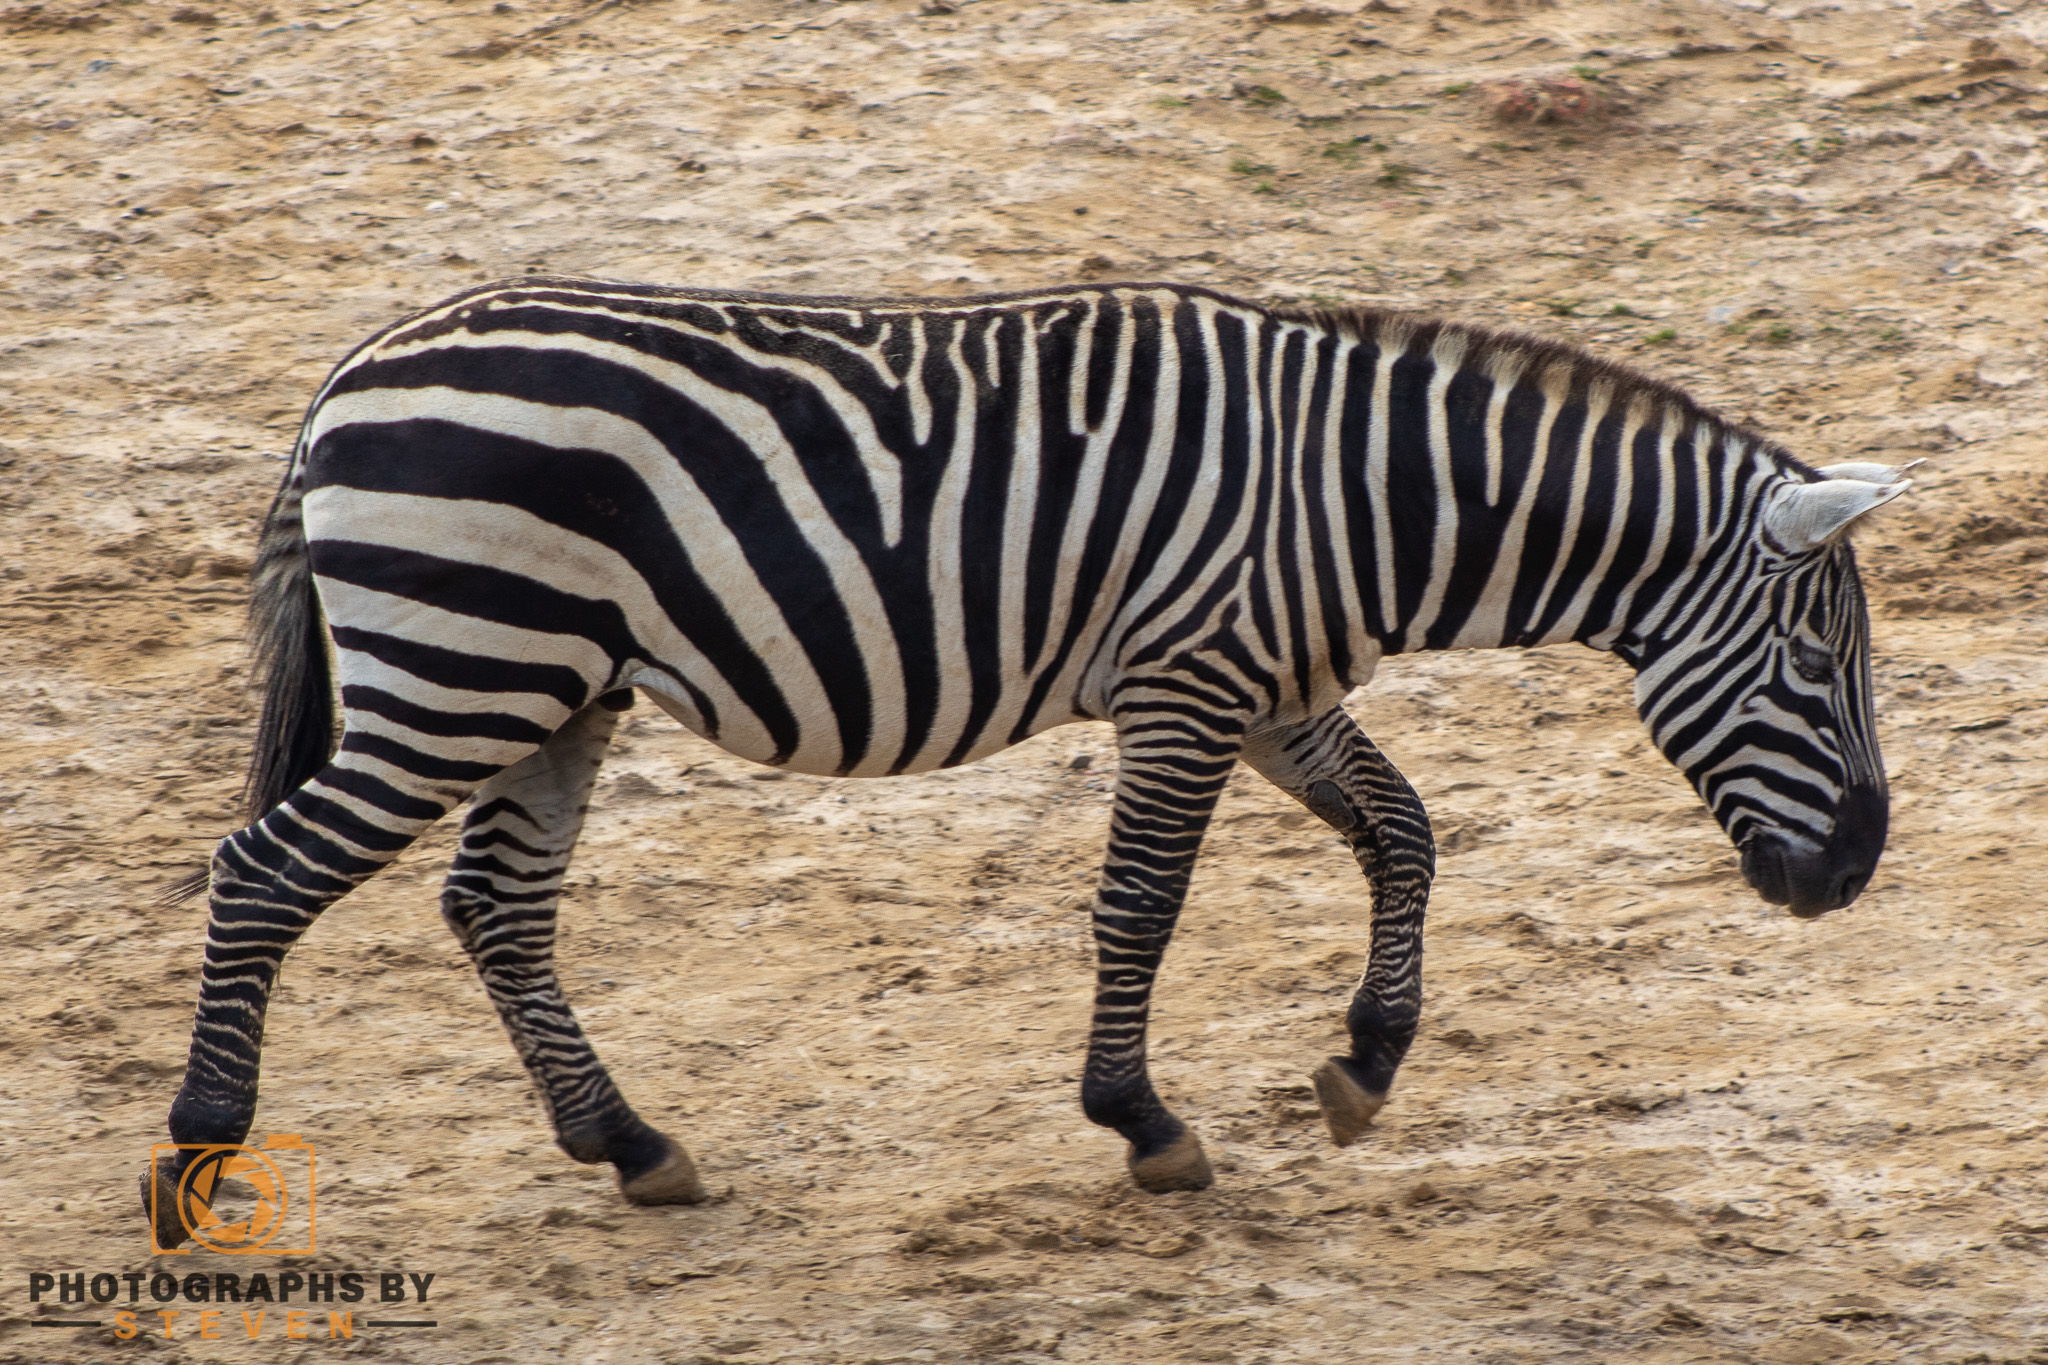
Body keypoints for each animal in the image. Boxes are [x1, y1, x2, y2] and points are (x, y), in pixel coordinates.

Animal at [143, 277, 1909, 1230]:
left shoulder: (1268, 681)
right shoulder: (1191, 682)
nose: (1853, 876)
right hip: (466, 670)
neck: (1363, 500)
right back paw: (204, 1147)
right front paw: (1143, 1122)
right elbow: (1145, 906)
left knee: (496, 907)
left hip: (551, 685)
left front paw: (1366, 1060)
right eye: (1818, 666)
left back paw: (631, 1145)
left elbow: (1405, 831)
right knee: (262, 872)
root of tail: (350, 375)